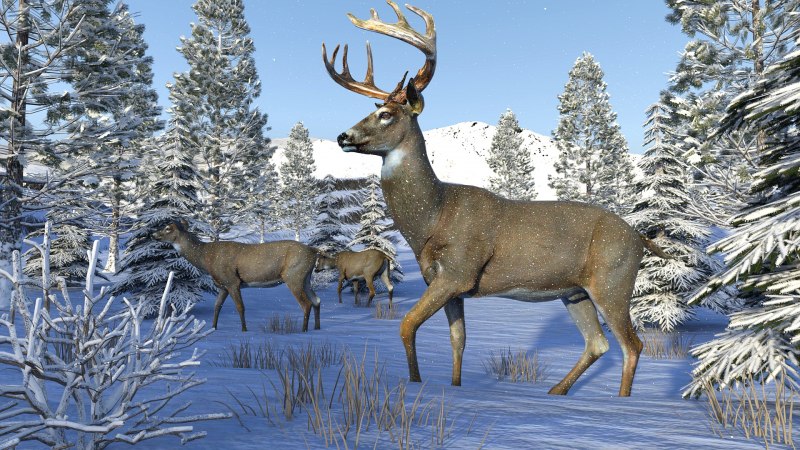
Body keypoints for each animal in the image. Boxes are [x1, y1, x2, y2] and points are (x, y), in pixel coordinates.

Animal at [152, 219, 321, 332]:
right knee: (317, 300)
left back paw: (304, 330)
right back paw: (317, 328)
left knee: (306, 303)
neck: (206, 258)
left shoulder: (232, 281)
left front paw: (244, 330)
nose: (153, 234)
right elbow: (217, 306)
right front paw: (213, 328)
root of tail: (314, 251)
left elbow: (240, 307)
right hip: (306, 278)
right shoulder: (222, 285)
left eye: (167, 228)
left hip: (293, 275)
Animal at [322, 0, 671, 397]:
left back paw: (618, 402)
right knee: (597, 343)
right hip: (574, 291)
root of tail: (639, 237)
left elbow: (406, 325)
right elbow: (458, 341)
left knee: (632, 345)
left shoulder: (458, 272)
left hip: (613, 281)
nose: (343, 136)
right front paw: (455, 386)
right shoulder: (446, 284)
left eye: (386, 114)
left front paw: (415, 383)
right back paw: (555, 393)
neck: (434, 216)